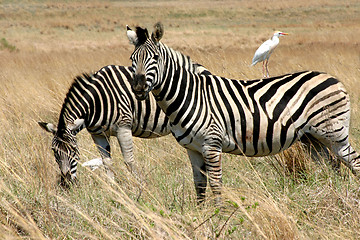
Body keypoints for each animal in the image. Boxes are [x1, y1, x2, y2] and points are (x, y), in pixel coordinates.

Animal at [38, 51, 211, 185]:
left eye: (73, 149)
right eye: (54, 150)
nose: (66, 182)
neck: (98, 100)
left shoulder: (123, 128)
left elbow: (129, 160)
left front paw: (140, 187)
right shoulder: (98, 134)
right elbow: (106, 162)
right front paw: (113, 187)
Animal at [126, 24, 360, 203]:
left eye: (155, 57)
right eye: (132, 59)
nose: (137, 88)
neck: (189, 95)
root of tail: (334, 79)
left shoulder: (211, 144)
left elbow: (216, 185)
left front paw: (218, 215)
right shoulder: (192, 149)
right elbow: (199, 186)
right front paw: (201, 215)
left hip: (334, 132)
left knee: (353, 161)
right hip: (312, 139)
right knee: (333, 167)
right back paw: (334, 194)